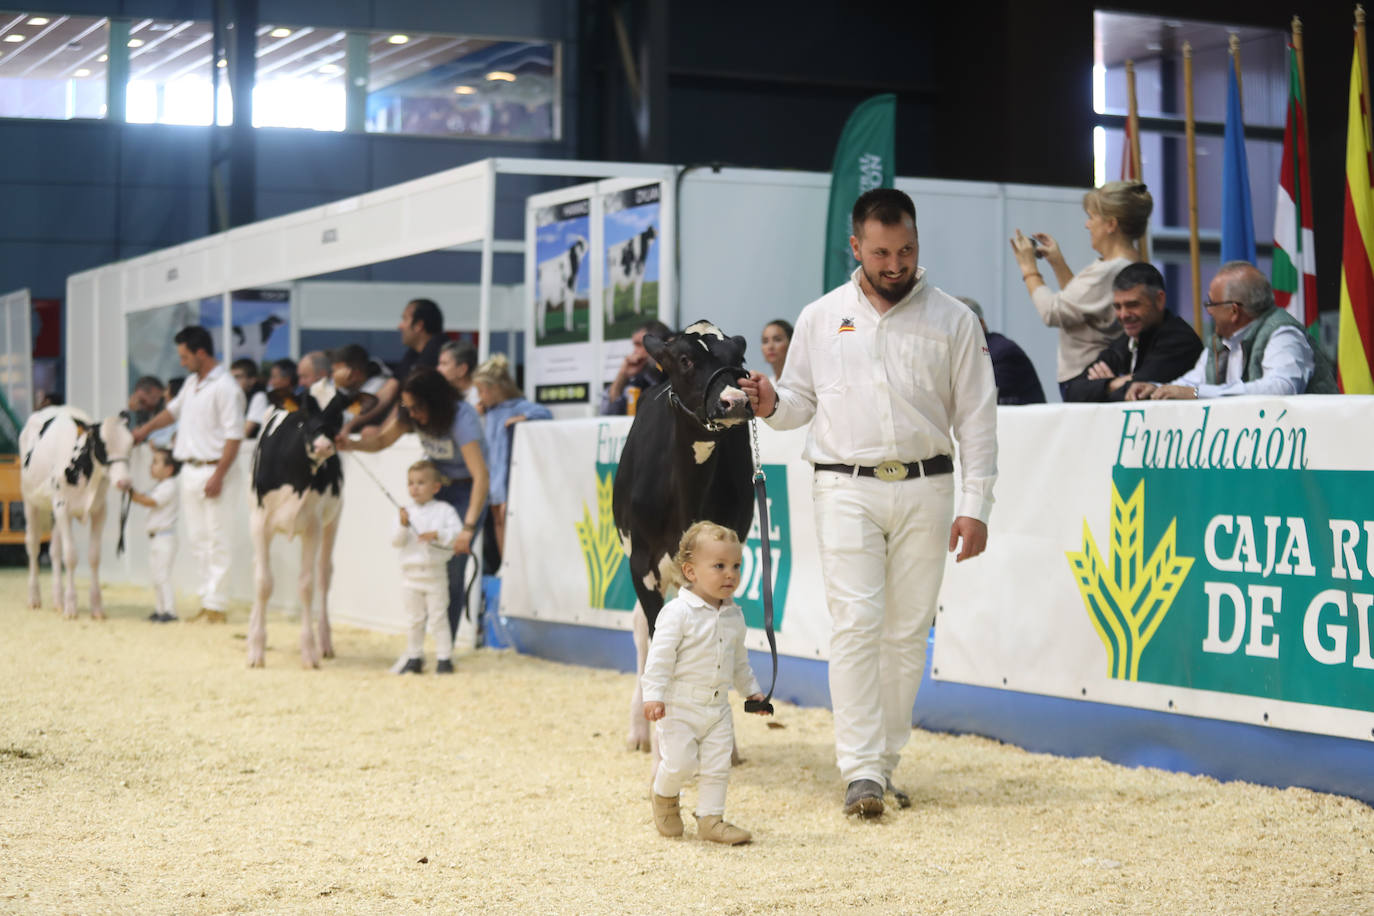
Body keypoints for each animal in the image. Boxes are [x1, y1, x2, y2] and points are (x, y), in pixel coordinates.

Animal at [19, 411, 133, 620]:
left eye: (130, 444)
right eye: (102, 446)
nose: (125, 482)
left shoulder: (100, 511)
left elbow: (94, 557)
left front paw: (96, 607)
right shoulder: (63, 509)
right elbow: (71, 556)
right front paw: (71, 607)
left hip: (54, 510)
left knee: (54, 551)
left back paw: (57, 601)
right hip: (30, 501)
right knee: (33, 546)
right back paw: (34, 598)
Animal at [247, 384, 376, 670]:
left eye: (340, 411)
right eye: (306, 410)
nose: (323, 445)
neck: (296, 474)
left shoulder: (313, 527)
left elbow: (306, 585)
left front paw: (309, 651)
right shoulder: (260, 523)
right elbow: (262, 583)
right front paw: (256, 650)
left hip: (333, 520)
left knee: (324, 575)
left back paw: (324, 642)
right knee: (260, 570)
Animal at [615, 322, 758, 752]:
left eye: (738, 359)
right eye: (685, 359)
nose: (736, 401)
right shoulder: (641, 565)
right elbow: (659, 646)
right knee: (642, 635)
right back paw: (639, 731)